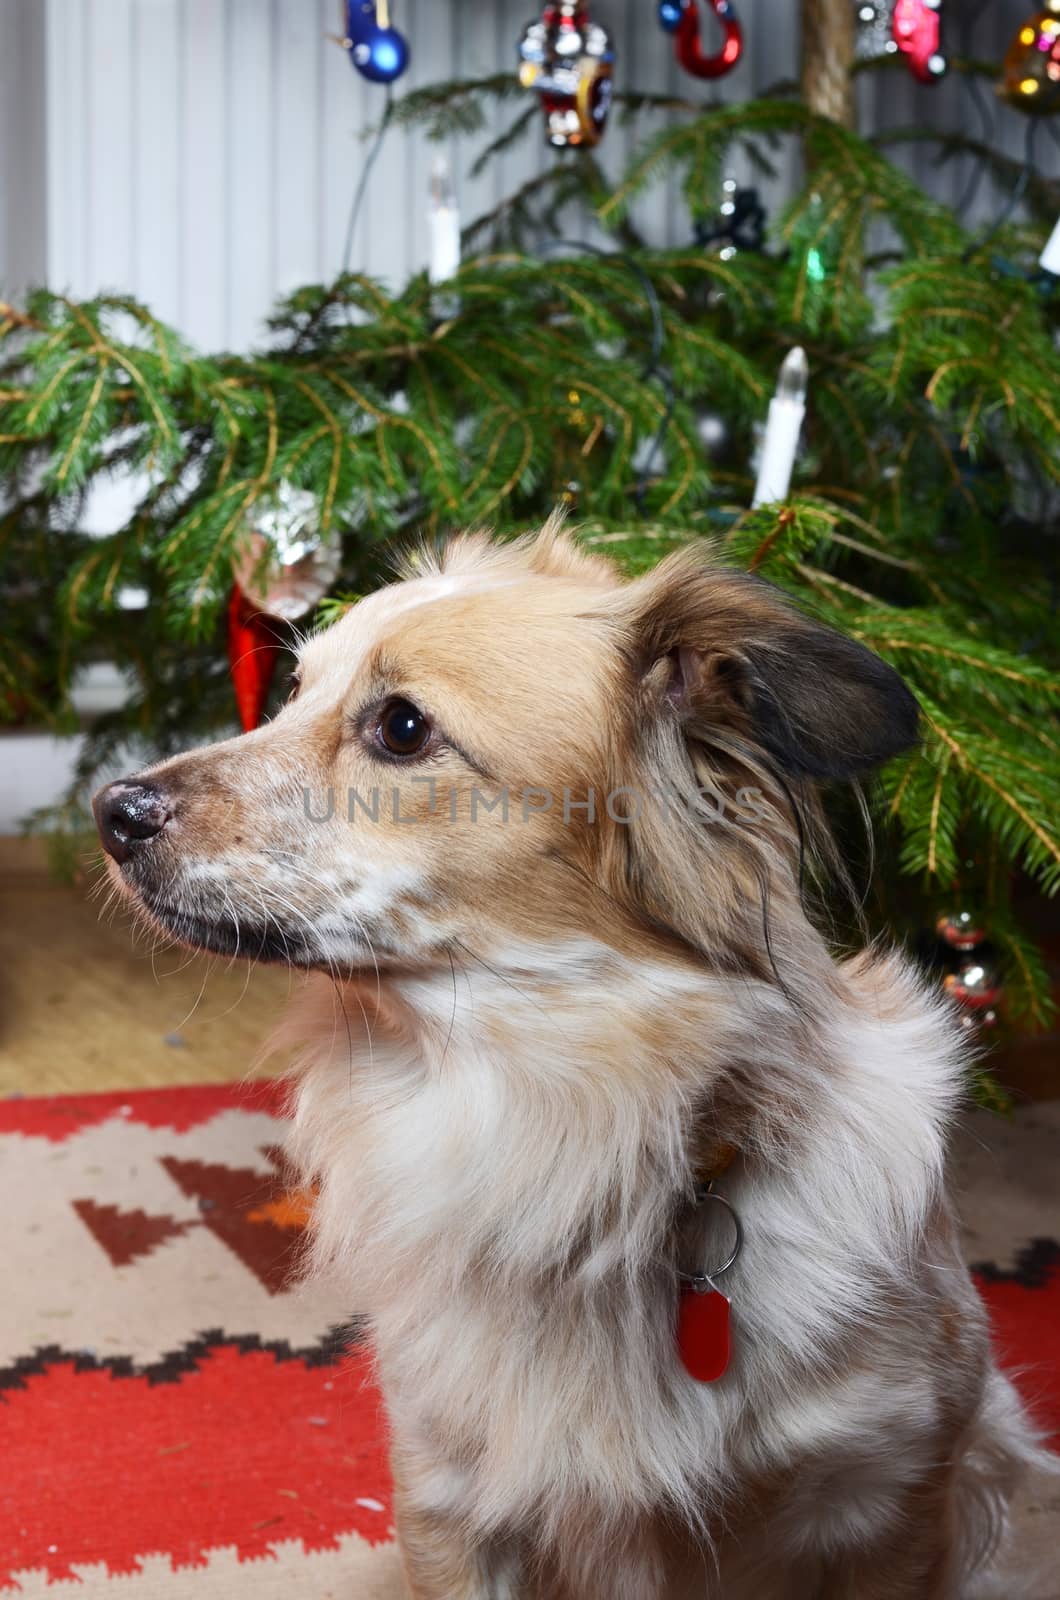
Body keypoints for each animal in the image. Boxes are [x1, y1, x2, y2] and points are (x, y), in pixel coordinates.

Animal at [95, 524, 1050, 1600]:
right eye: (292, 691)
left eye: (403, 727)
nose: (109, 810)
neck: (570, 1139)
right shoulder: (450, 1499)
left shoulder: (892, 1502)